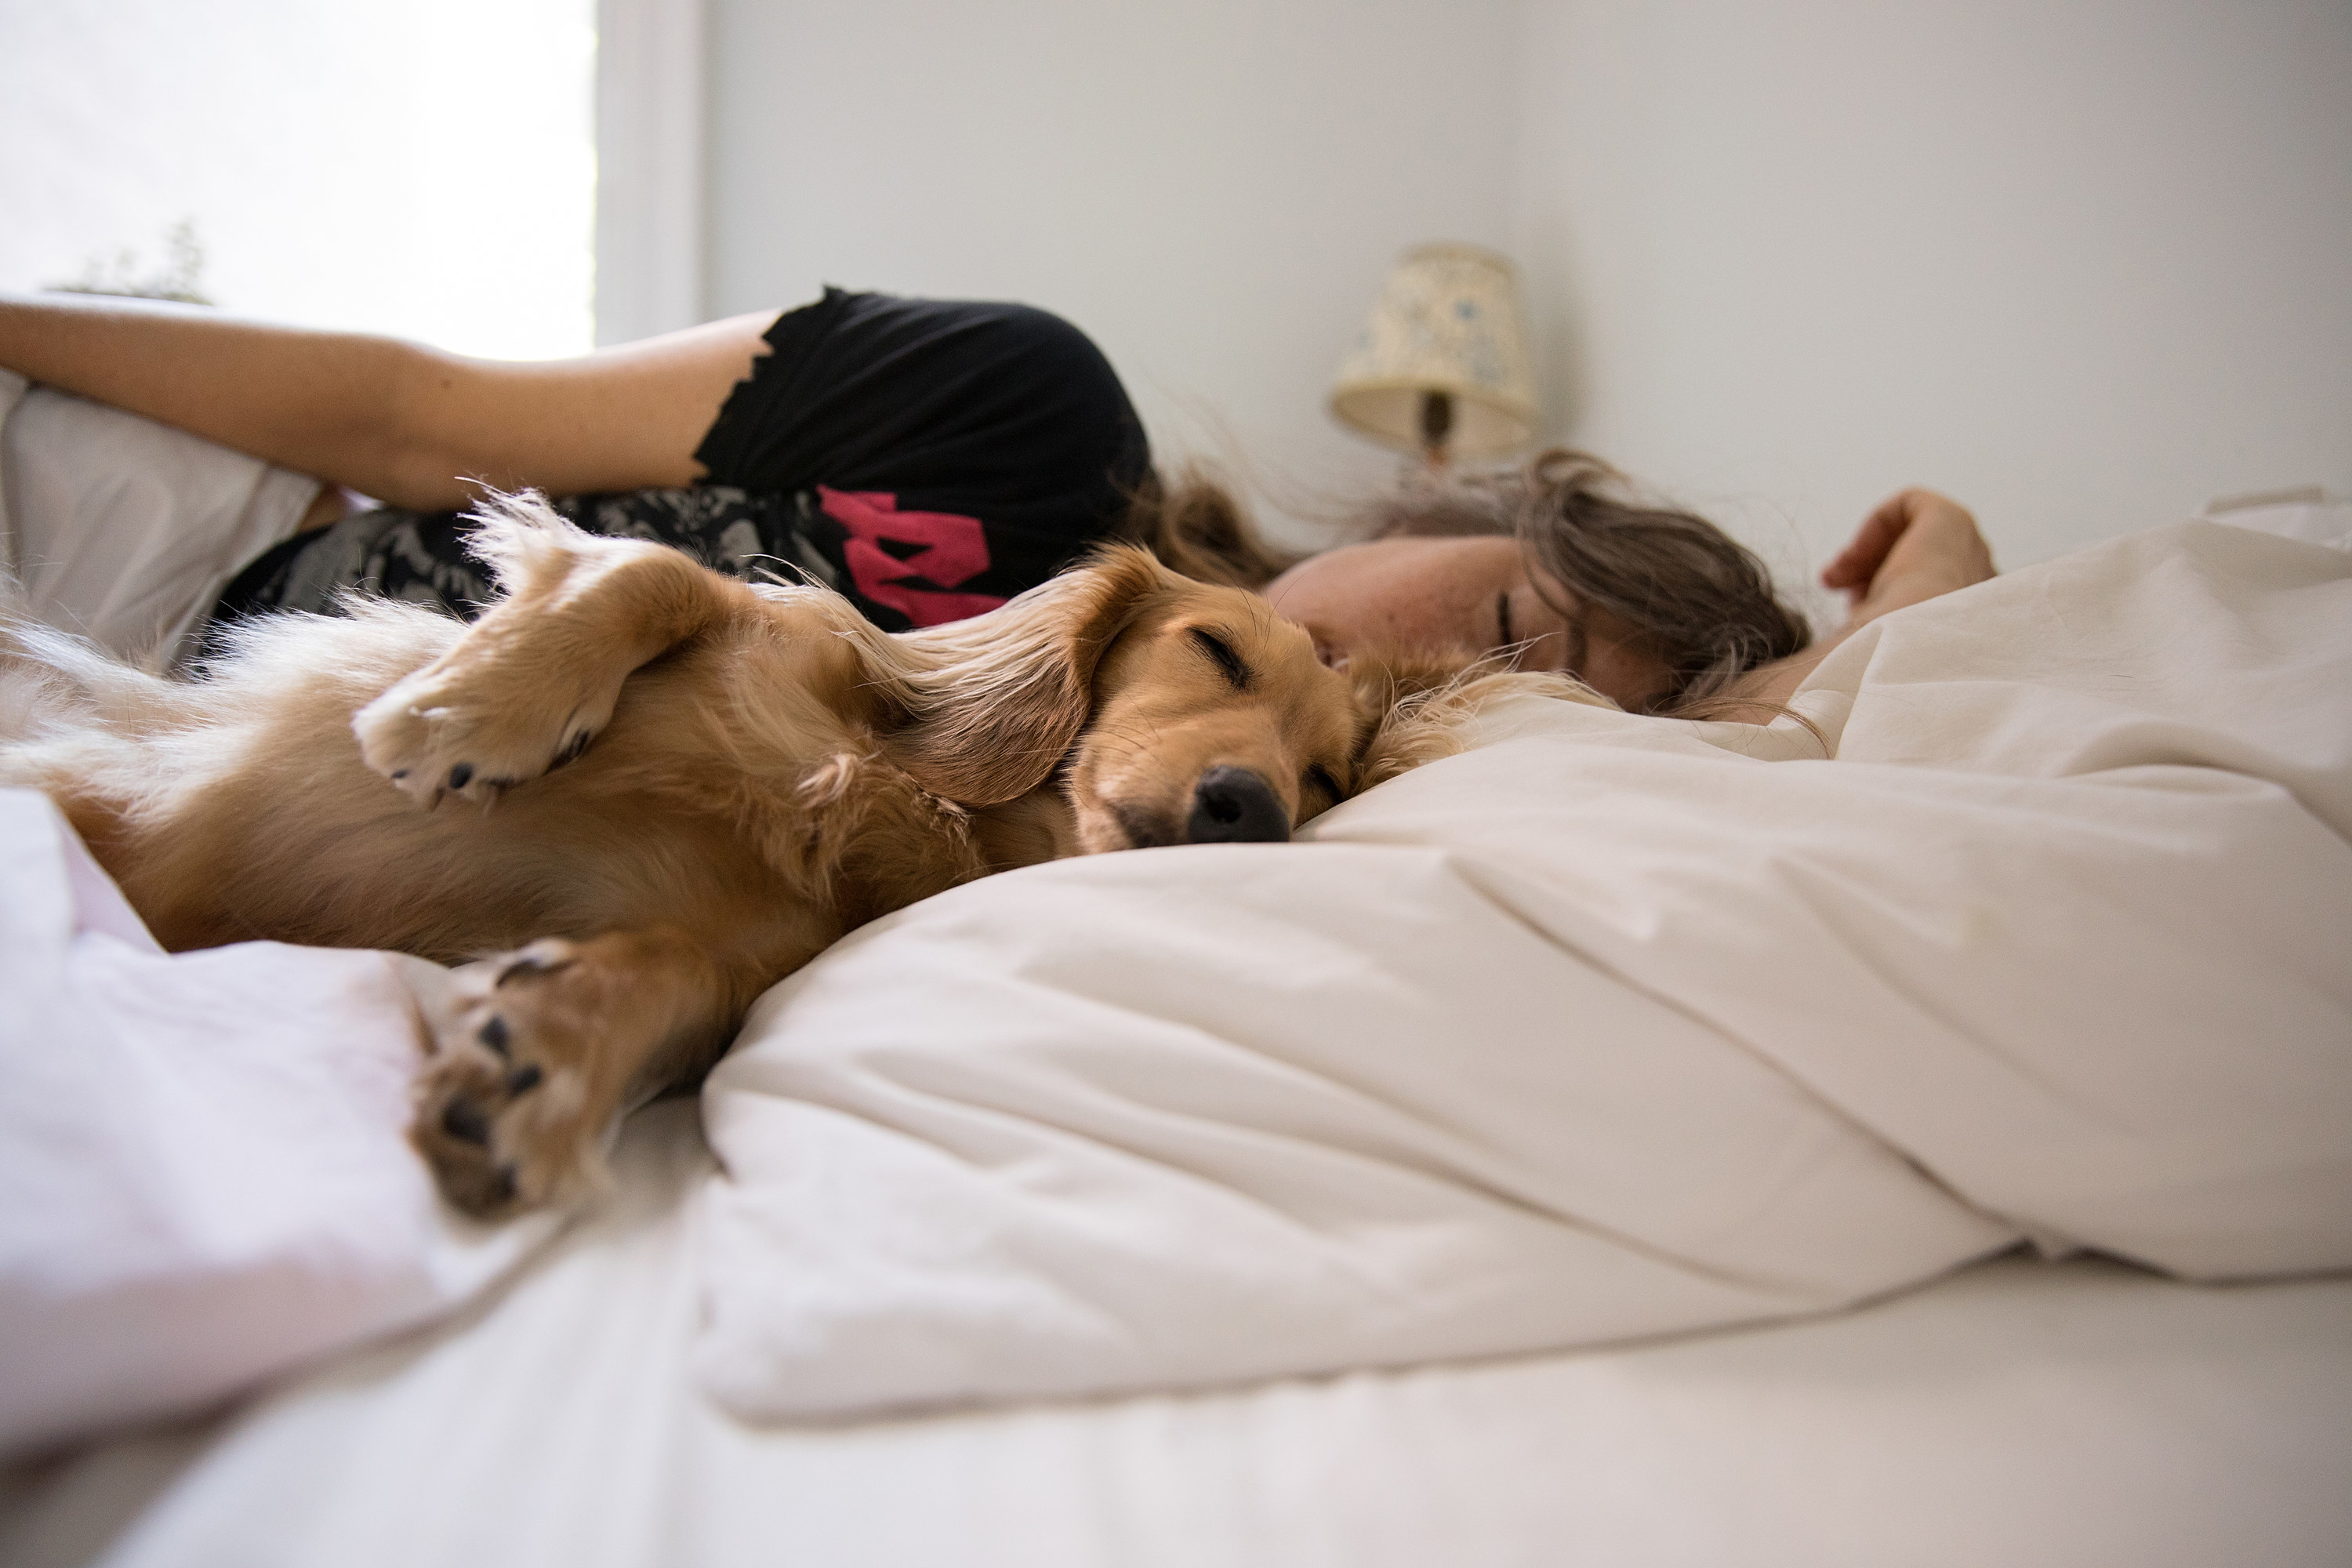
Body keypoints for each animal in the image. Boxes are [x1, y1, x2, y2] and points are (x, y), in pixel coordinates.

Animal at [0, 495, 1505, 1222]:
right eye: (1216, 651)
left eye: (1327, 779)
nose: (1255, 805)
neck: (911, 799)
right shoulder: (752, 630)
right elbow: (659, 573)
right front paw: (468, 712)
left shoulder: (740, 954)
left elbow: (673, 975)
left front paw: (541, 1060)